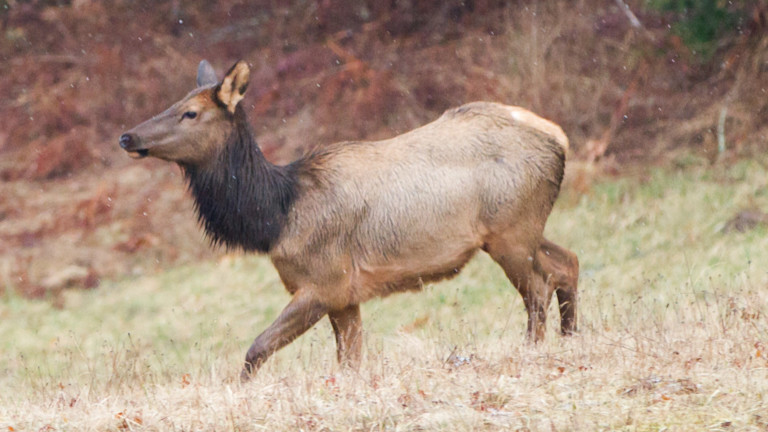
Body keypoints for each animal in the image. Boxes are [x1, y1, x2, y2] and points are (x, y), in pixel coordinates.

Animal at [119, 60, 579, 381]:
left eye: (191, 113)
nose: (128, 136)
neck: (274, 218)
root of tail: (559, 137)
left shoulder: (323, 281)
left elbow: (256, 349)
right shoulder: (346, 296)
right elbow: (351, 361)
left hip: (510, 231)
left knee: (537, 289)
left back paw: (533, 351)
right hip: (523, 229)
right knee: (567, 263)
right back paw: (571, 337)